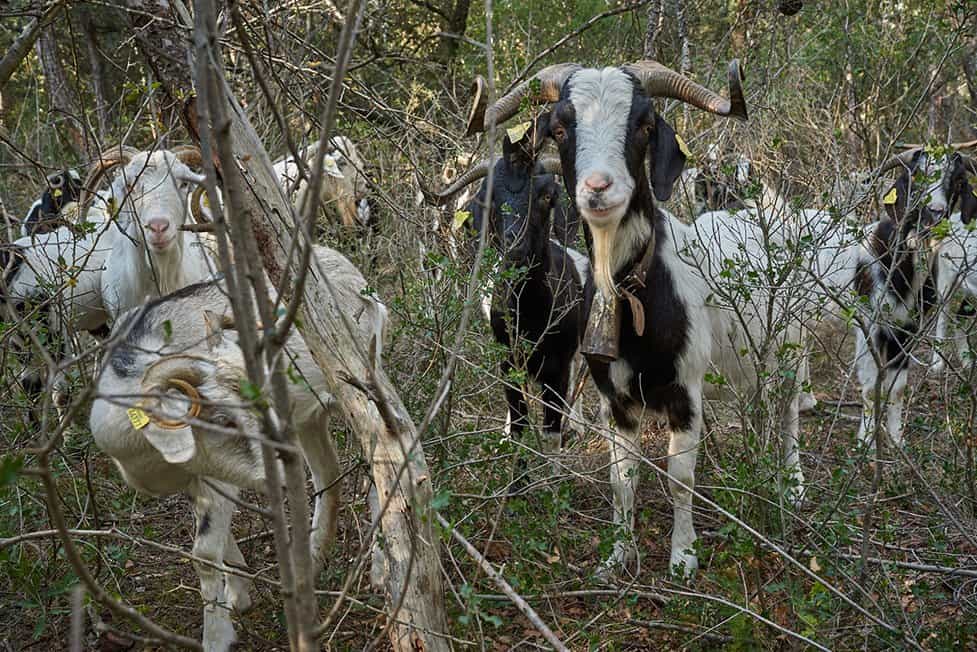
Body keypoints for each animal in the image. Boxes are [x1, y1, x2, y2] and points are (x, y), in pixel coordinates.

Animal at [468, 59, 804, 580]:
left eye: (644, 124)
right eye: (560, 128)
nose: (598, 188)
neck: (632, 294)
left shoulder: (685, 391)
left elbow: (680, 477)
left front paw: (683, 557)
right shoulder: (617, 400)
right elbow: (621, 477)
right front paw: (617, 557)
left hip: (791, 347)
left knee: (788, 410)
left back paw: (792, 483)